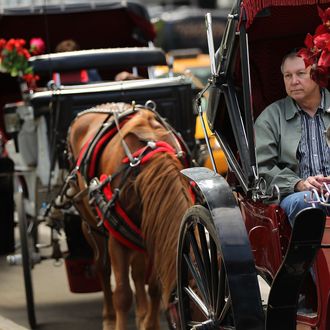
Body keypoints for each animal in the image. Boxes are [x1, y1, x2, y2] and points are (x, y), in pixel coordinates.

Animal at [64, 102, 193, 328]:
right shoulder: (117, 241)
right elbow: (122, 295)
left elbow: (155, 287)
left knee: (138, 271)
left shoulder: (152, 233)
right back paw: (109, 318)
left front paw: (149, 324)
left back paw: (141, 314)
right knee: (102, 268)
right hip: (92, 226)